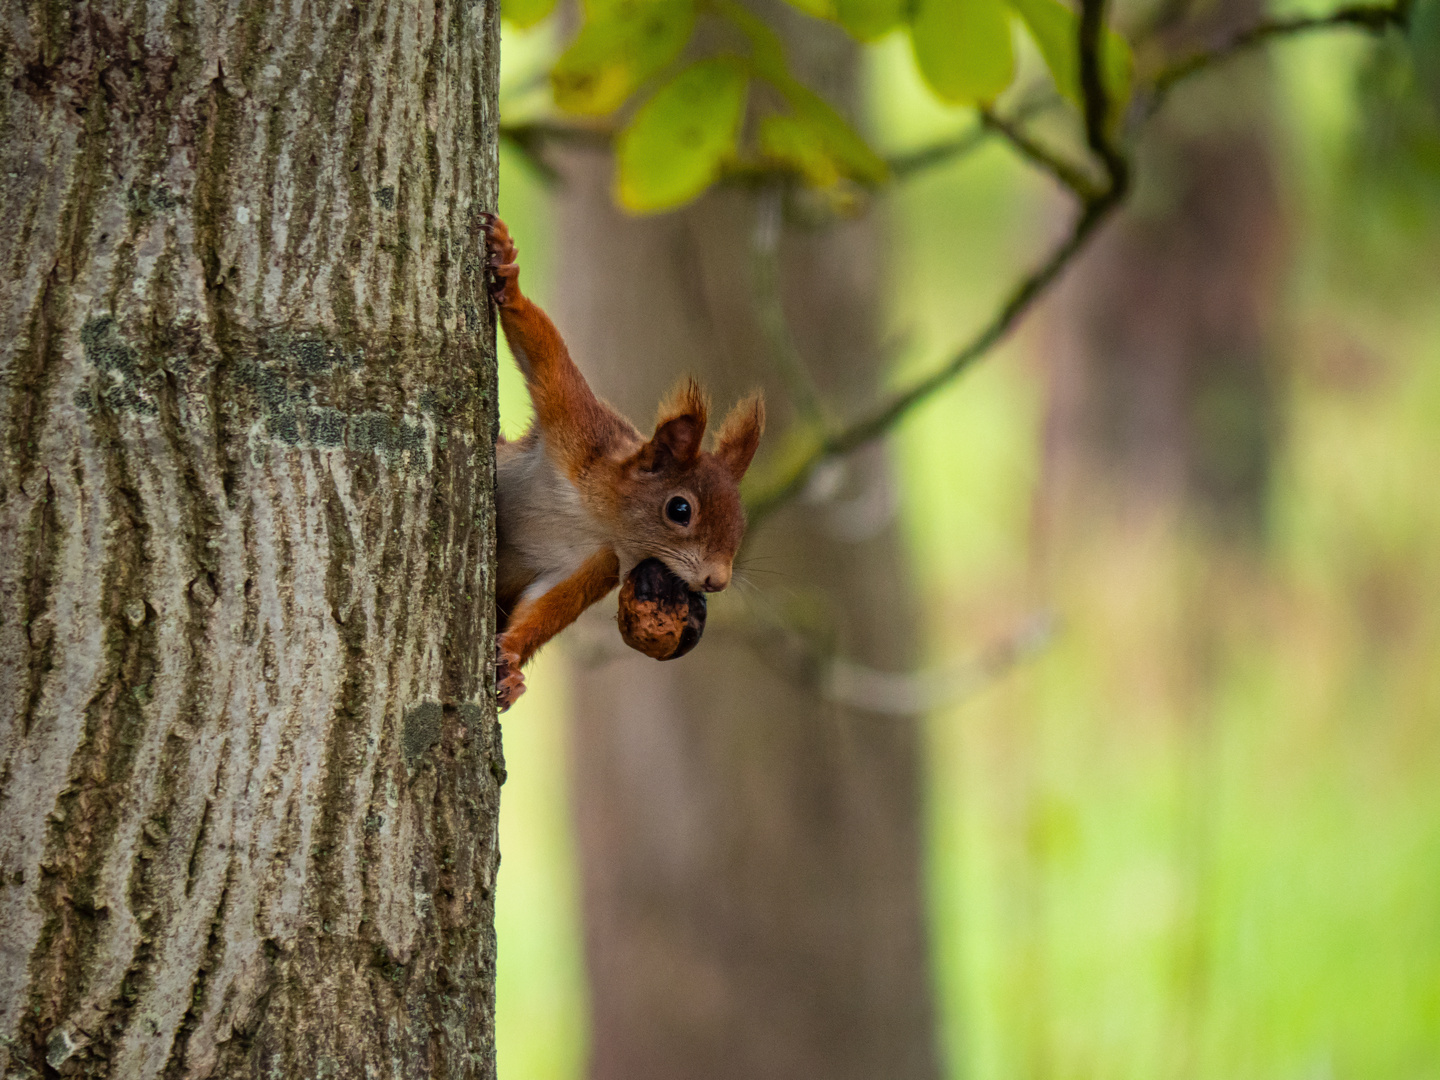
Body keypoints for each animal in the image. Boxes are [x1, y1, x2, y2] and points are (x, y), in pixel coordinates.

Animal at [483, 216, 766, 714]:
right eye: (679, 510)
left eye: (741, 521)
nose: (717, 581)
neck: (597, 515)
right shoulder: (577, 430)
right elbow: (548, 358)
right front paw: (508, 274)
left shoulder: (599, 563)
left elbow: (548, 607)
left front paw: (512, 662)